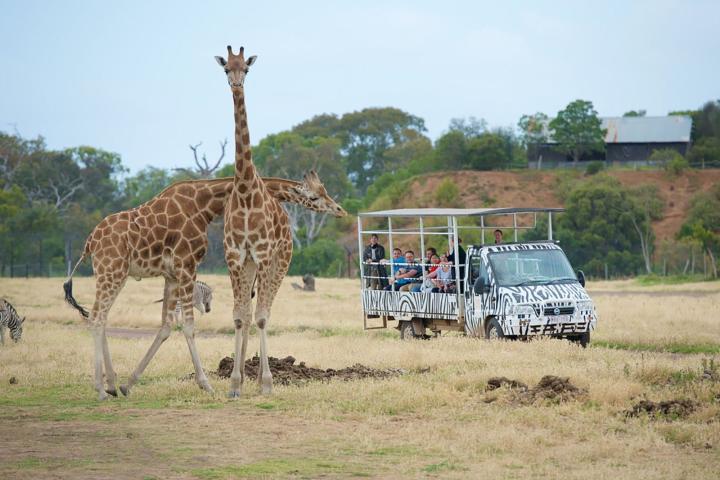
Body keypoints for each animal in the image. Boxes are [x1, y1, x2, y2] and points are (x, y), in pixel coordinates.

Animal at [63, 174, 344, 400]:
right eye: (315, 195)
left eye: (325, 190)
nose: (340, 210)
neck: (204, 205)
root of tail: (89, 243)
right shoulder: (187, 266)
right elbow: (188, 326)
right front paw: (206, 385)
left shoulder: (171, 275)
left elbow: (166, 327)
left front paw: (128, 384)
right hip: (111, 270)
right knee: (97, 317)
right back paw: (100, 389)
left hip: (115, 273)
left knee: (101, 317)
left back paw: (111, 384)